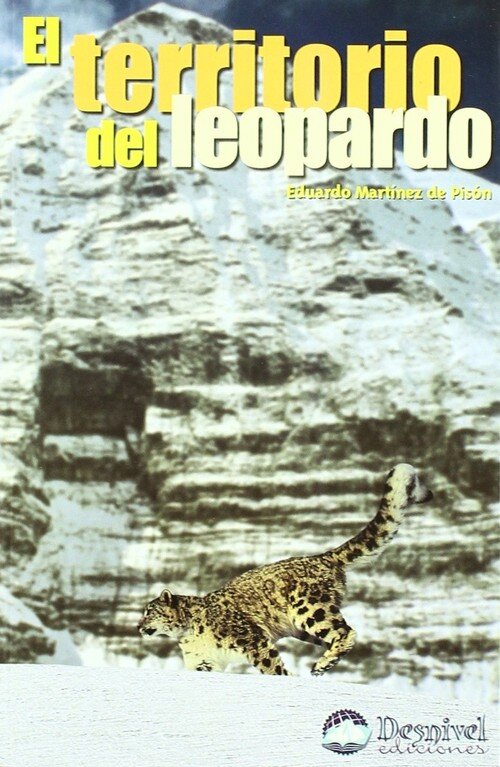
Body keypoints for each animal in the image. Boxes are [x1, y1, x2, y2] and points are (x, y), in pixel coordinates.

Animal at [138, 463, 433, 675]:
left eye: (149, 611)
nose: (138, 626)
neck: (187, 636)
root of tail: (321, 557)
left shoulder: (252, 640)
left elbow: (271, 667)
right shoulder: (203, 662)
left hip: (310, 609)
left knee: (346, 631)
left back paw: (320, 666)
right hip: (301, 627)